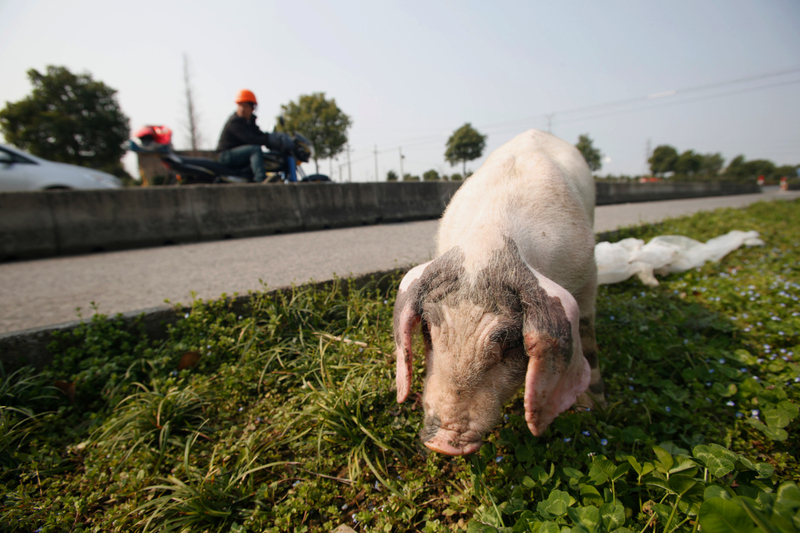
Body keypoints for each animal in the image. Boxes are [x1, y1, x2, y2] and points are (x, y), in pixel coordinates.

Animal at [390, 128, 604, 454]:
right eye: (428, 330)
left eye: (511, 343)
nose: (443, 444)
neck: (488, 239)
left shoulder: (587, 274)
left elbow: (589, 338)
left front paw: (594, 411)